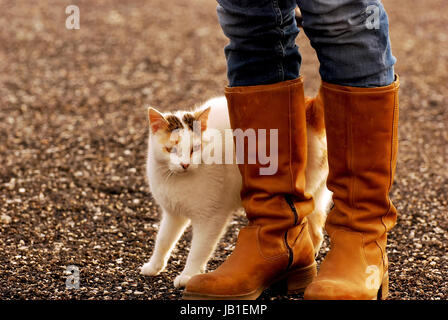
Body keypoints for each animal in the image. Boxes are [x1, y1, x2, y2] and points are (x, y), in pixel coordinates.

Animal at [141, 95, 332, 288]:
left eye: (195, 149)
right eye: (171, 149)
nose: (185, 164)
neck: (177, 180)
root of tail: (308, 105)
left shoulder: (210, 218)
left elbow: (199, 249)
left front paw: (189, 275)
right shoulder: (173, 214)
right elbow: (163, 240)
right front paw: (154, 266)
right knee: (316, 231)